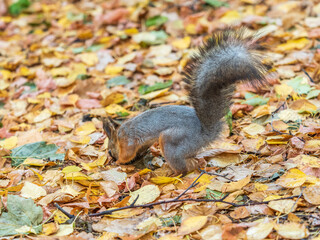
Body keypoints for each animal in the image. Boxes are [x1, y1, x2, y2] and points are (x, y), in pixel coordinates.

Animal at [103, 28, 270, 174]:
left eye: (110, 151)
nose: (112, 158)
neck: (118, 135)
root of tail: (204, 134)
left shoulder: (128, 140)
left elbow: (127, 154)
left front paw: (119, 162)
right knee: (194, 162)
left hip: (172, 141)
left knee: (184, 168)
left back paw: (173, 174)